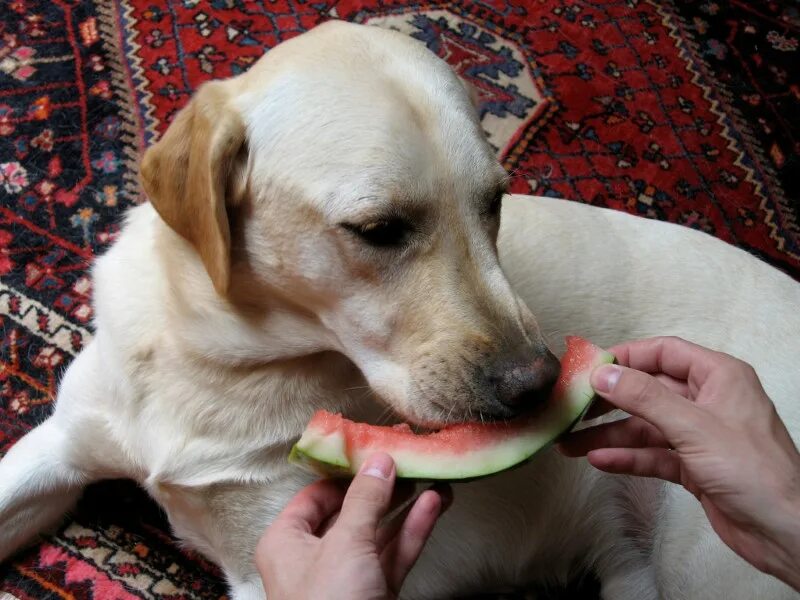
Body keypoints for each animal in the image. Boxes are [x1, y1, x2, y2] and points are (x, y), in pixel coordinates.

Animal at [1, 21, 800, 596]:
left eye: (494, 201)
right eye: (379, 230)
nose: (539, 385)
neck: (220, 363)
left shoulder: (275, 566)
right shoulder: (58, 448)